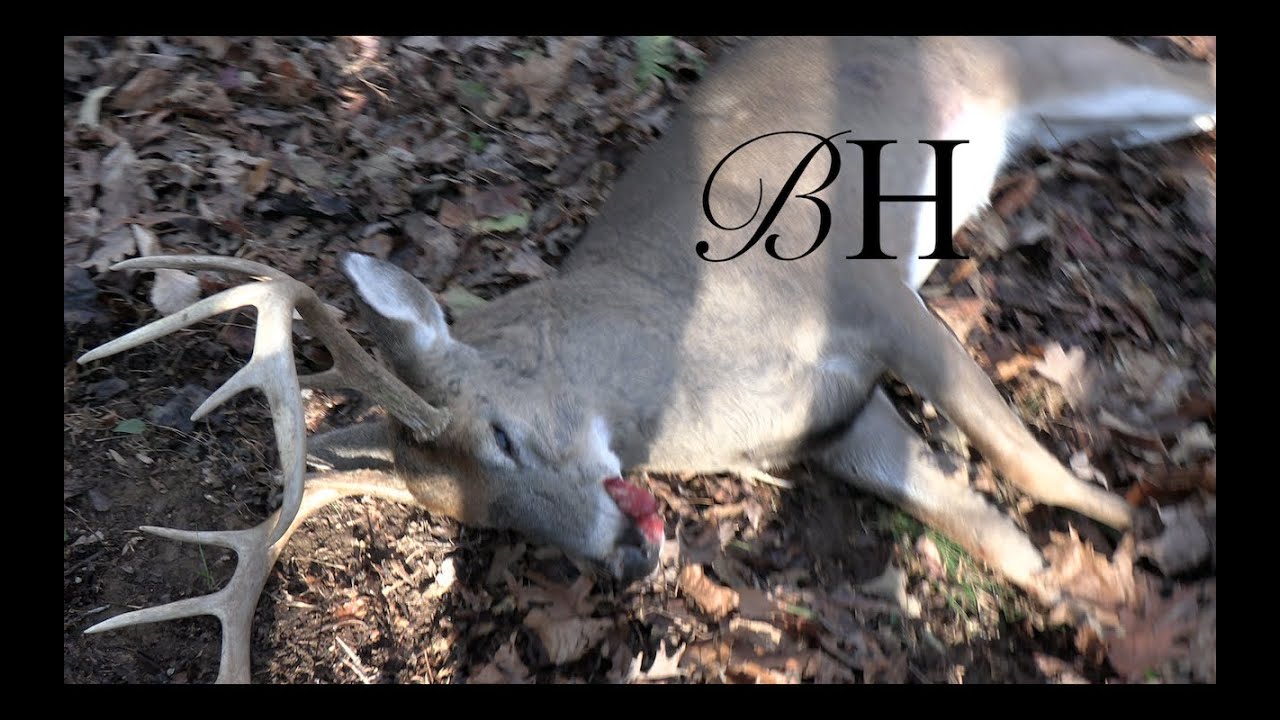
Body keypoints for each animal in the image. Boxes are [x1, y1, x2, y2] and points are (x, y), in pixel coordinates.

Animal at [76, 36, 1216, 683]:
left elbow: (1019, 457)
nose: (623, 559)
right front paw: (1093, 604)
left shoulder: (873, 297)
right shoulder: (838, 425)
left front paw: (1133, 529)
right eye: (482, 522)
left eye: (500, 433)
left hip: (1045, 63)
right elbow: (992, 532)